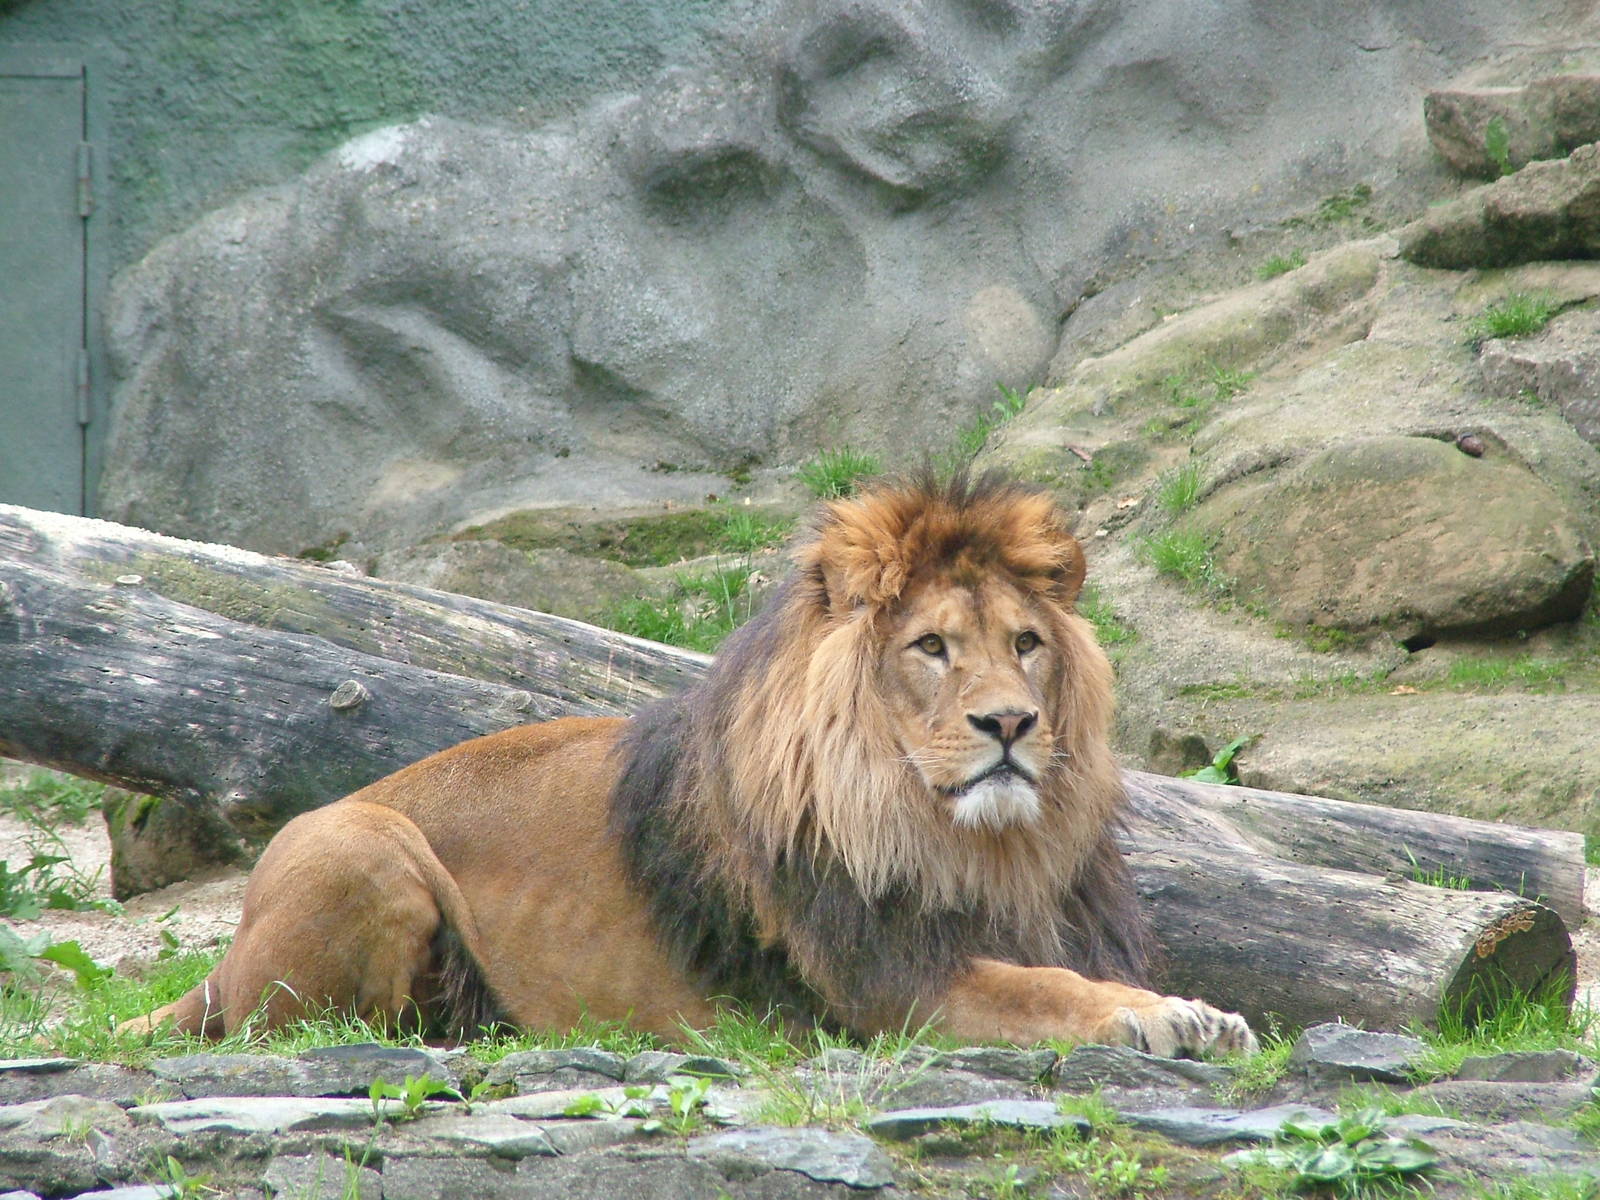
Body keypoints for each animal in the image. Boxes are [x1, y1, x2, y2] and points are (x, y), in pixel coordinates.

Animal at [130, 472, 1255, 1057]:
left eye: (1025, 642)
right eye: (932, 647)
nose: (1012, 723)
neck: (977, 846)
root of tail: (224, 954)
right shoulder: (891, 988)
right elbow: (1045, 990)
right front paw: (1170, 1016)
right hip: (361, 848)